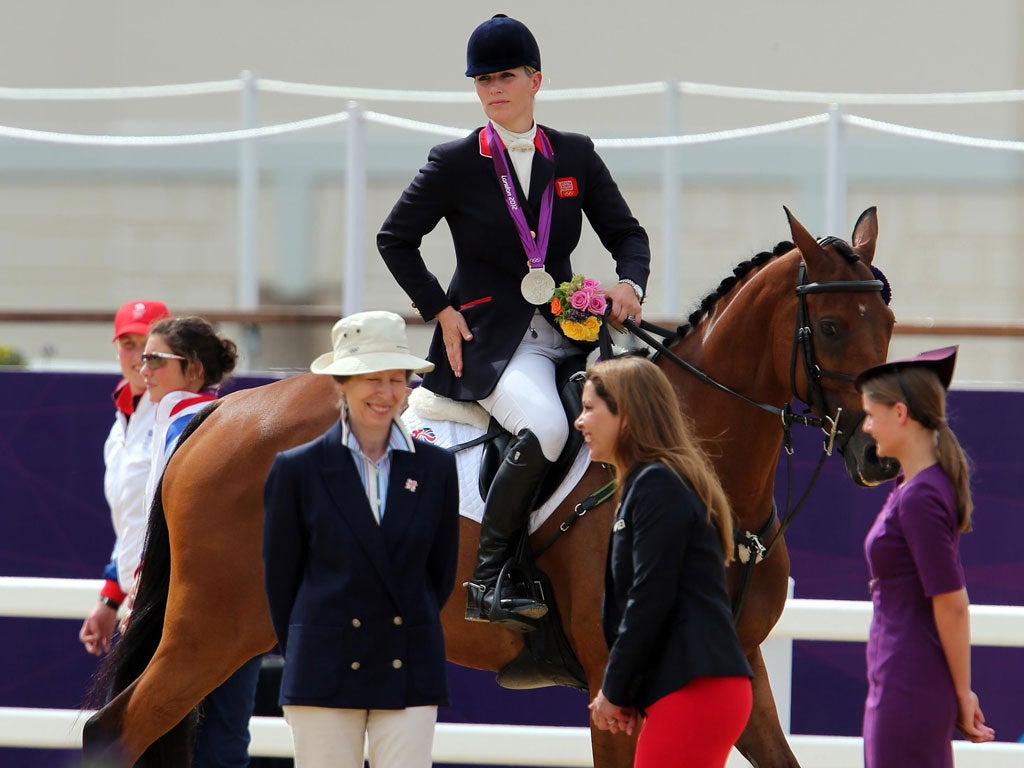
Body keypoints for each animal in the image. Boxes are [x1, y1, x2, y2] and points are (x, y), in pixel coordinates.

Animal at [83, 207, 892, 768]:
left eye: (885, 322)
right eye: (828, 326)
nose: (878, 454)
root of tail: (219, 412)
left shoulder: (740, 667)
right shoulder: (613, 688)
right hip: (212, 625)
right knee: (114, 729)